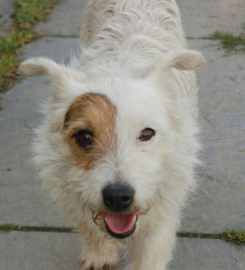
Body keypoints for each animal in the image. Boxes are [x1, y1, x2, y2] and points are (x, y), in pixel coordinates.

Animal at [18, 0, 203, 270]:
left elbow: (151, 251)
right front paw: (99, 254)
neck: (119, 67)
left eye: (146, 133)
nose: (117, 197)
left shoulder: (167, 202)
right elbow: (89, 226)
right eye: (84, 137)